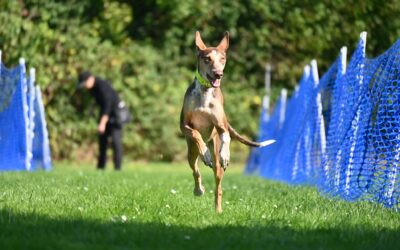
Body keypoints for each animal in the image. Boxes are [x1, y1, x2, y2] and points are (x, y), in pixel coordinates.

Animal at [179, 31, 276, 213]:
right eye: (207, 59)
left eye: (222, 59)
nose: (218, 74)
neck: (205, 92)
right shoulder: (184, 125)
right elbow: (195, 133)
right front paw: (205, 153)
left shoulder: (221, 125)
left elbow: (227, 137)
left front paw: (225, 154)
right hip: (191, 152)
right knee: (196, 170)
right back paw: (199, 188)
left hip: (216, 160)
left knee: (218, 187)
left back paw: (218, 211)